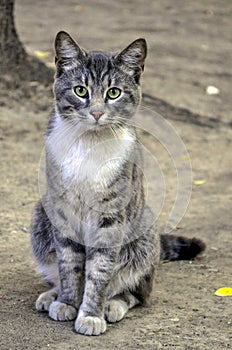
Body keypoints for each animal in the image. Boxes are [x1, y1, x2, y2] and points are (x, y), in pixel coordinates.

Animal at [30, 32, 205, 336]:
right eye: (80, 91)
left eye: (114, 93)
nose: (97, 113)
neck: (89, 145)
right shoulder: (62, 210)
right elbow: (69, 264)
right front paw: (66, 301)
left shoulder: (110, 215)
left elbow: (99, 271)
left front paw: (90, 314)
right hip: (42, 216)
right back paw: (52, 295)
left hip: (143, 231)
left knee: (138, 292)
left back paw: (113, 304)